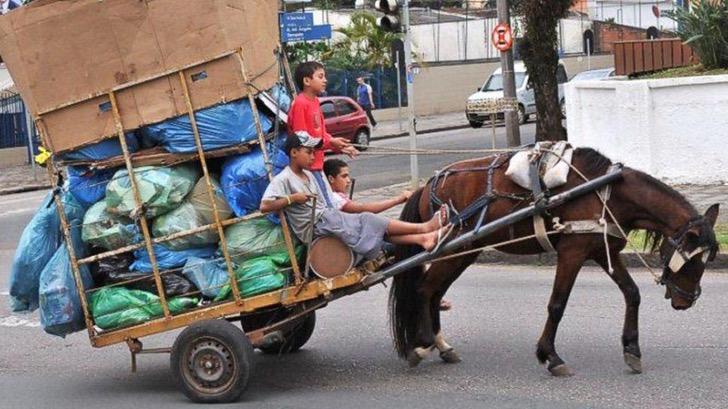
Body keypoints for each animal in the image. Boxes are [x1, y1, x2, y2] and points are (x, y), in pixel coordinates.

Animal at [390, 147, 720, 376]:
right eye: (693, 261)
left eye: (708, 259)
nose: (686, 301)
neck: (607, 192)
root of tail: (427, 185)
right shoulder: (572, 252)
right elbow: (557, 305)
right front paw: (551, 356)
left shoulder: (603, 251)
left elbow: (632, 294)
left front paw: (632, 350)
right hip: (452, 248)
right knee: (424, 289)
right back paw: (422, 344)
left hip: (465, 251)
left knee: (435, 292)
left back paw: (441, 346)